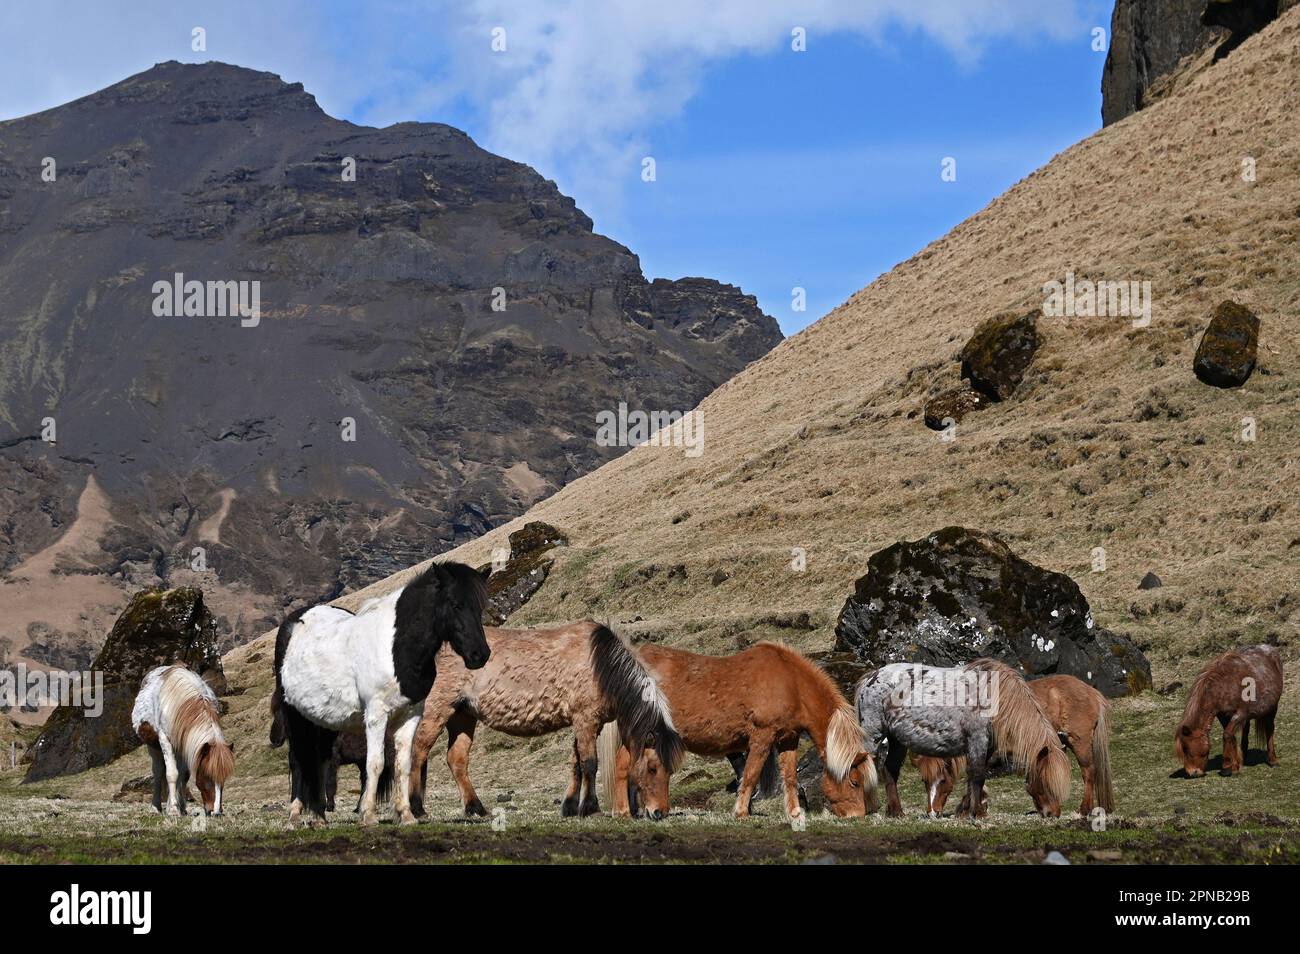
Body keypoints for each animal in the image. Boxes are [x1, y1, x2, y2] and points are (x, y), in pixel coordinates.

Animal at [132, 670, 236, 816]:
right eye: (207, 776)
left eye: (224, 778)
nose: (216, 812)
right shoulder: (165, 739)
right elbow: (172, 774)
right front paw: (173, 810)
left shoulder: (184, 743)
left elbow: (183, 775)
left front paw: (179, 807)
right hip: (153, 746)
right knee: (158, 772)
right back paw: (156, 807)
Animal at [271, 564, 488, 826]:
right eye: (456, 604)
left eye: (480, 607)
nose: (480, 655)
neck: (396, 648)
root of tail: (293, 622)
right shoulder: (376, 715)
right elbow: (375, 763)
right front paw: (369, 814)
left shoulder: (411, 715)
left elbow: (403, 764)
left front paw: (406, 814)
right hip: (293, 714)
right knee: (297, 760)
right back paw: (295, 814)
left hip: (324, 719)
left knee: (320, 760)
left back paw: (320, 817)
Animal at [598, 642, 873, 821]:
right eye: (855, 781)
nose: (857, 816)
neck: (790, 683)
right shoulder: (762, 738)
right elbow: (750, 775)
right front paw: (741, 812)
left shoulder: (788, 740)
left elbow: (790, 778)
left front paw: (794, 813)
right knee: (623, 765)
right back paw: (623, 811)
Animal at [852, 657, 1066, 821]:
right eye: (1045, 781)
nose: (1054, 813)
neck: (994, 696)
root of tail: (869, 678)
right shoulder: (977, 741)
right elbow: (978, 776)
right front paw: (978, 813)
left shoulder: (985, 747)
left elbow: (973, 777)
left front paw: (965, 810)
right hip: (873, 736)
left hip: (897, 741)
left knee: (890, 770)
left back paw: (896, 812)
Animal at [1175, 642, 1284, 779]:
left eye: (1186, 748)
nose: (1192, 773)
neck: (1223, 686)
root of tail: (1270, 648)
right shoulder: (1224, 716)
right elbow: (1231, 737)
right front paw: (1235, 766)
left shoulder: (1239, 714)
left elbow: (1227, 735)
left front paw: (1227, 768)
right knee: (1246, 731)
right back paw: (1243, 756)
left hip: (1272, 708)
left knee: (1269, 729)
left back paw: (1272, 760)